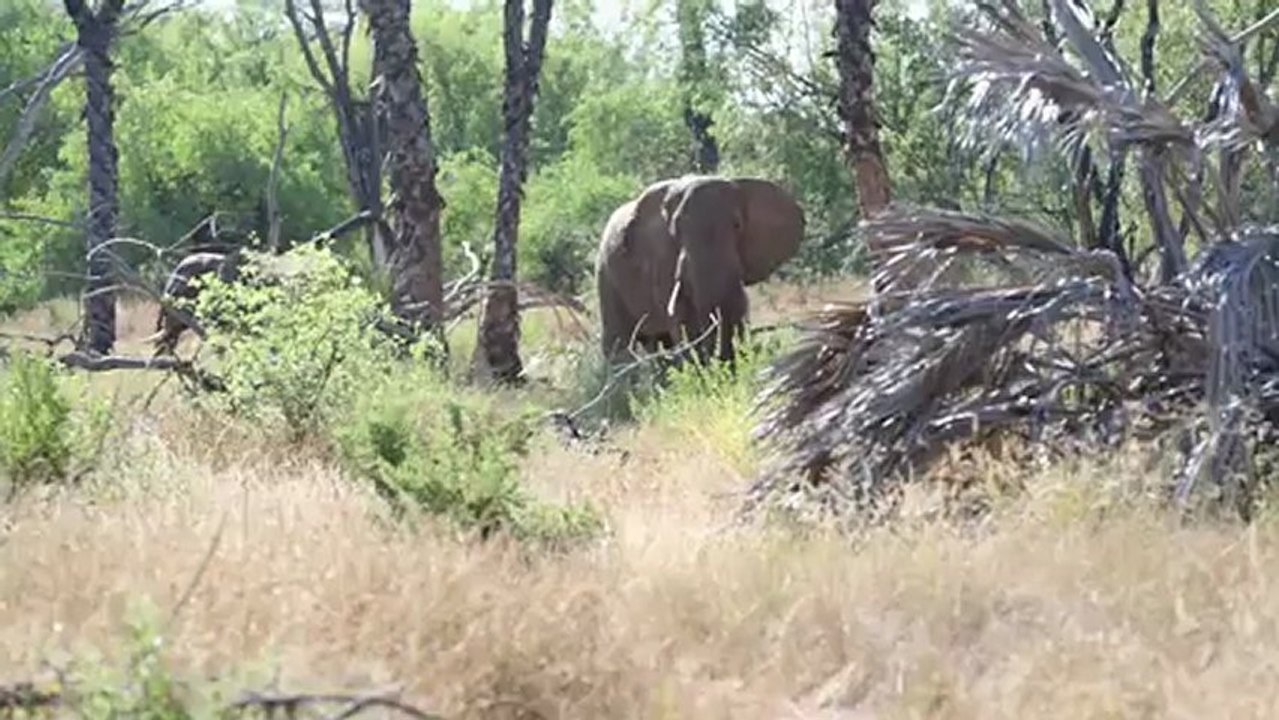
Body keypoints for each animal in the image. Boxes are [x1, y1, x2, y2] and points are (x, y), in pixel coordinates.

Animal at [594, 174, 805, 367]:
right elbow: (682, 321)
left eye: (737, 225)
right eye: (677, 229)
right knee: (618, 342)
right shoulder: (661, 259)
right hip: (606, 276)